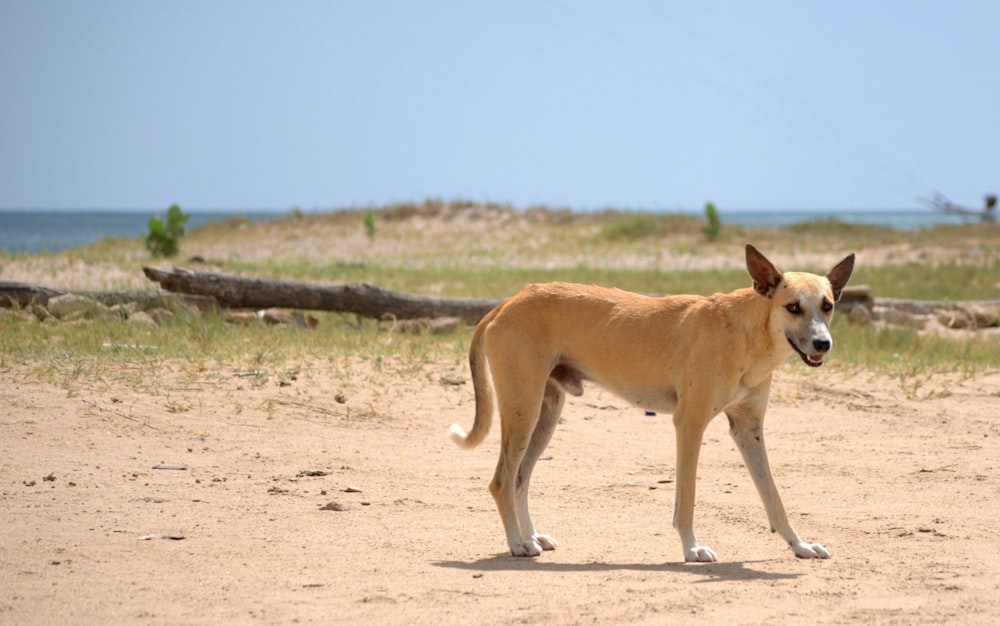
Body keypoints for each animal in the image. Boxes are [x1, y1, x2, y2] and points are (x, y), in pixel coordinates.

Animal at [452, 243, 852, 560]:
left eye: (828, 306)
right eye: (792, 307)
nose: (823, 344)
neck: (747, 332)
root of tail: (506, 304)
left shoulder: (748, 429)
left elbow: (773, 497)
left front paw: (799, 545)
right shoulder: (690, 424)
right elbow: (686, 499)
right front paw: (692, 548)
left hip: (544, 414)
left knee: (520, 479)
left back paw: (531, 536)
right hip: (523, 409)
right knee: (502, 481)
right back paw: (517, 544)